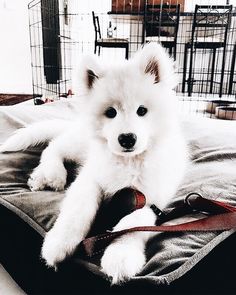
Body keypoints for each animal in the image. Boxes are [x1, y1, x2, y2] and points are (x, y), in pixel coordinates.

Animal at [0, 43, 188, 284]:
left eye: (142, 111)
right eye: (110, 112)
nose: (127, 138)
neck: (127, 161)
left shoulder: (152, 198)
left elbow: (135, 224)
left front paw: (121, 255)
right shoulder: (90, 177)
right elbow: (79, 210)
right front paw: (59, 243)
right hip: (80, 143)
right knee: (54, 146)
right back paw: (51, 175)